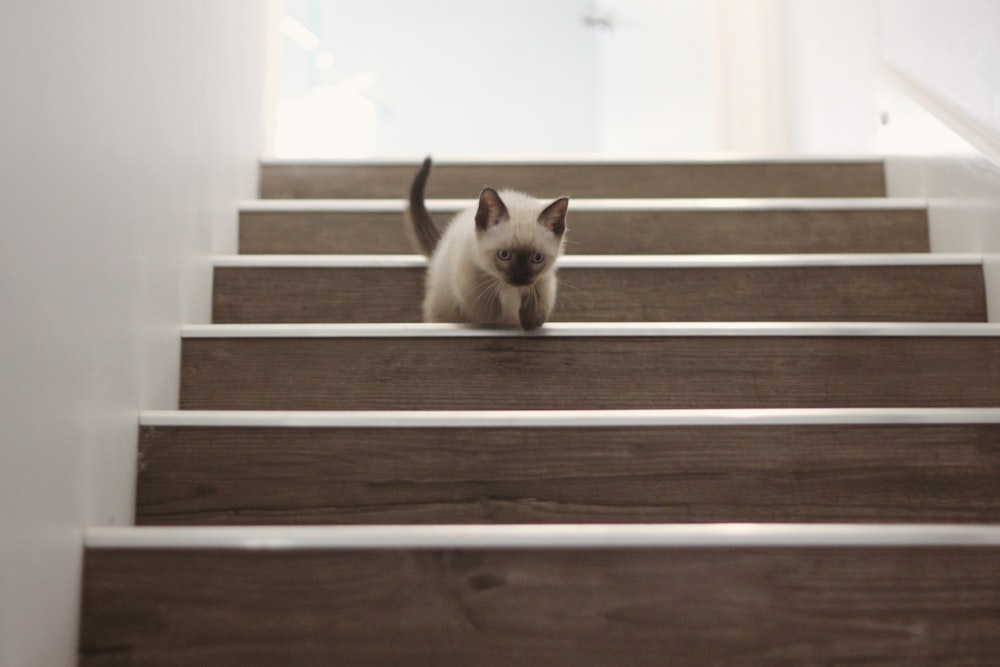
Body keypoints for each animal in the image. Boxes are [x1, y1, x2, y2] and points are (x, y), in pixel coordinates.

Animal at [402, 157, 568, 334]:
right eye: (504, 255)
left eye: (537, 258)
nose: (520, 279)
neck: (509, 288)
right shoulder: (470, 271)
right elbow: (483, 303)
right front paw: (492, 319)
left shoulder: (543, 277)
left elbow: (540, 297)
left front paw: (532, 321)